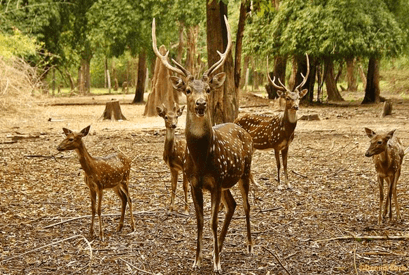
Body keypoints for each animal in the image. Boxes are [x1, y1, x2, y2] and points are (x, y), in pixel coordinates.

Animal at [152, 16, 252, 272]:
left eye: (207, 89)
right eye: (187, 90)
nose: (200, 103)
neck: (201, 159)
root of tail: (243, 130)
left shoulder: (215, 181)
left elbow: (213, 222)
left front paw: (216, 264)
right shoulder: (196, 182)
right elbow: (199, 222)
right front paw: (197, 259)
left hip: (245, 170)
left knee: (246, 205)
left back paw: (248, 246)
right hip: (227, 181)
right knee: (232, 205)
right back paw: (221, 248)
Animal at [234, 55, 308, 191]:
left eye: (299, 98)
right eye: (287, 98)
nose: (296, 106)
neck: (286, 132)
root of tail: (234, 120)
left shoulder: (286, 146)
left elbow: (285, 164)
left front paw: (288, 184)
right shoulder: (275, 144)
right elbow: (278, 165)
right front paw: (279, 185)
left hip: (252, 146)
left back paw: (257, 184)